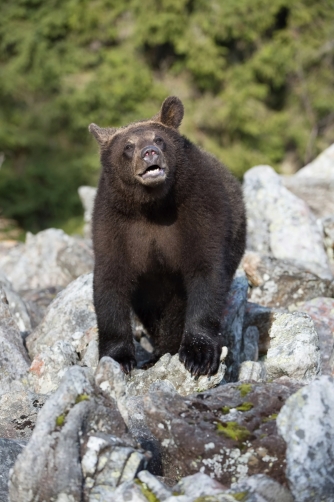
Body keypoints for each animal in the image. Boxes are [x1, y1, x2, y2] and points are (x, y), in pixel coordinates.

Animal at [88, 96, 245, 374]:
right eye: (128, 146)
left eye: (159, 139)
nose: (150, 152)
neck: (153, 206)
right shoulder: (115, 225)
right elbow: (110, 281)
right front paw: (119, 358)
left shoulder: (200, 211)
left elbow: (206, 272)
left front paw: (199, 354)